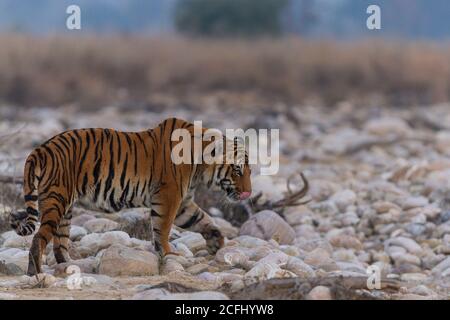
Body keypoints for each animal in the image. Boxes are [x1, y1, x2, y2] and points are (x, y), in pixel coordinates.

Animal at [9, 117, 253, 276]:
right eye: (237, 170)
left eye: (249, 171)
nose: (248, 192)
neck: (199, 166)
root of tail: (40, 149)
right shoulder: (169, 196)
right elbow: (163, 228)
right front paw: (169, 254)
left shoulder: (183, 203)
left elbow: (202, 220)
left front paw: (216, 242)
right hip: (56, 200)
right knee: (40, 237)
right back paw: (35, 272)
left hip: (65, 209)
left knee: (60, 243)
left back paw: (69, 266)